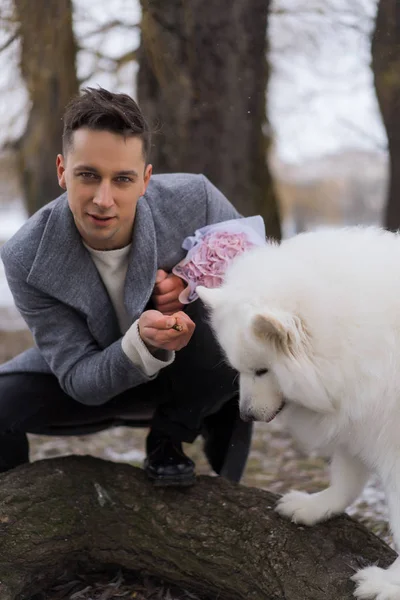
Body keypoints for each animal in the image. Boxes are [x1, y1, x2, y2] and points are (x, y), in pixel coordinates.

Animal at [198, 226, 400, 600]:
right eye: (240, 370)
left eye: (262, 371)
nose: (245, 416)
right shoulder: (358, 419)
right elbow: (346, 478)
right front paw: (316, 506)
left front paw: (388, 584)